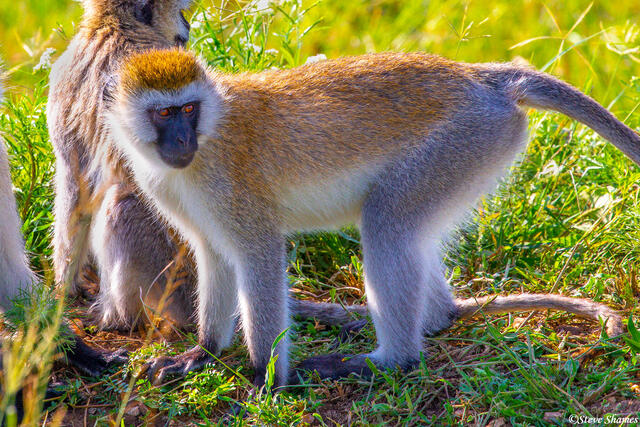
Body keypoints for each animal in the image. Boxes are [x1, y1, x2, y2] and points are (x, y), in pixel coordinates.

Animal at [106, 48, 634, 386]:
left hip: (464, 141)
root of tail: (484, 78)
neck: (209, 134)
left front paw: (266, 376)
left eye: (188, 109)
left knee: (387, 224)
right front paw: (204, 352)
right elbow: (214, 255)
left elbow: (257, 255)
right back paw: (427, 318)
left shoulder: (232, 190)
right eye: (164, 114)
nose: (181, 141)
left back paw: (390, 361)